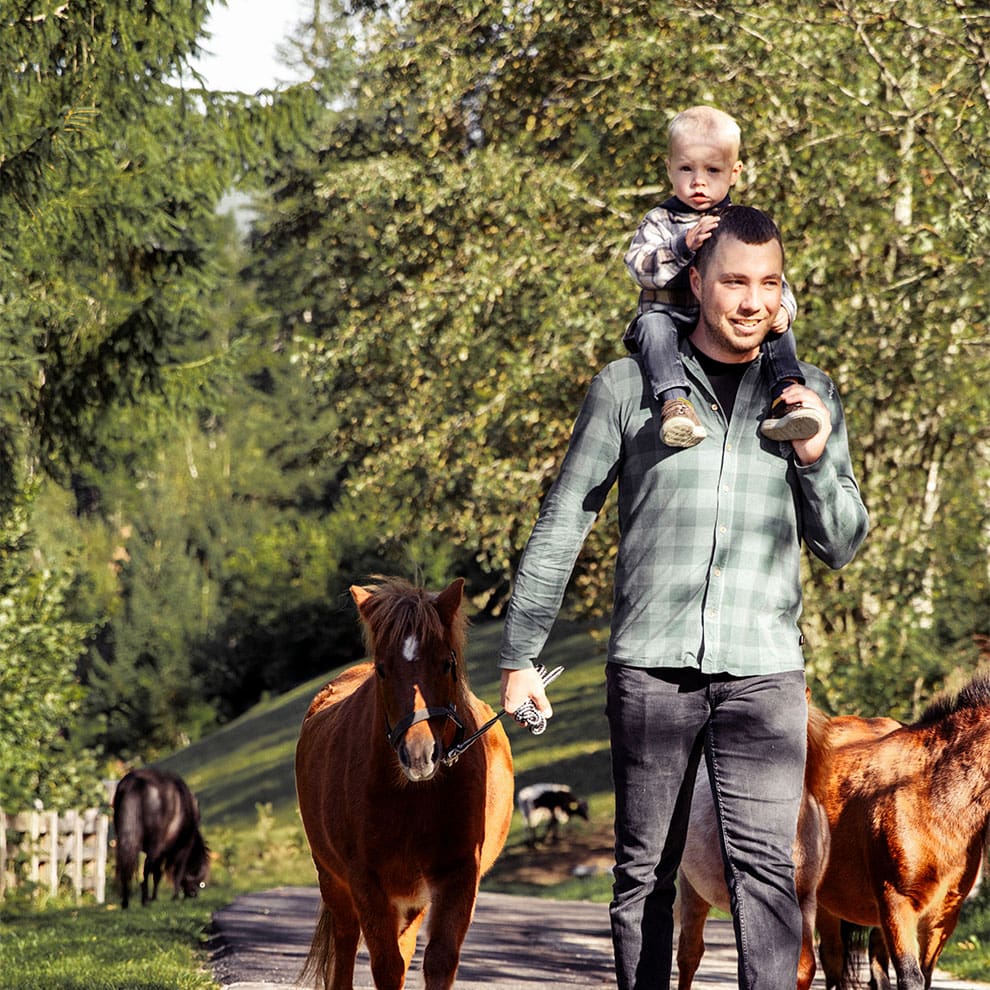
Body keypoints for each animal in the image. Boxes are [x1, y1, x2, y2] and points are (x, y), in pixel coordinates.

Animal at [113, 768, 210, 916]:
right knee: (147, 869)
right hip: (155, 845)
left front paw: (154, 897)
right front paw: (173, 897)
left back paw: (126, 902)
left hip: (124, 841)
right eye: (199, 881)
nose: (193, 894)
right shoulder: (181, 849)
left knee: (126, 867)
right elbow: (172, 872)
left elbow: (157, 873)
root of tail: (135, 783)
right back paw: (145, 900)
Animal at [292, 576, 512, 990]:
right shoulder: (366, 881)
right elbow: (386, 964)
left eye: (447, 664)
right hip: (333, 879)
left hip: (413, 898)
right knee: (347, 941)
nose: (419, 754)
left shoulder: (459, 876)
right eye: (382, 670)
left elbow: (439, 960)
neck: (417, 799)